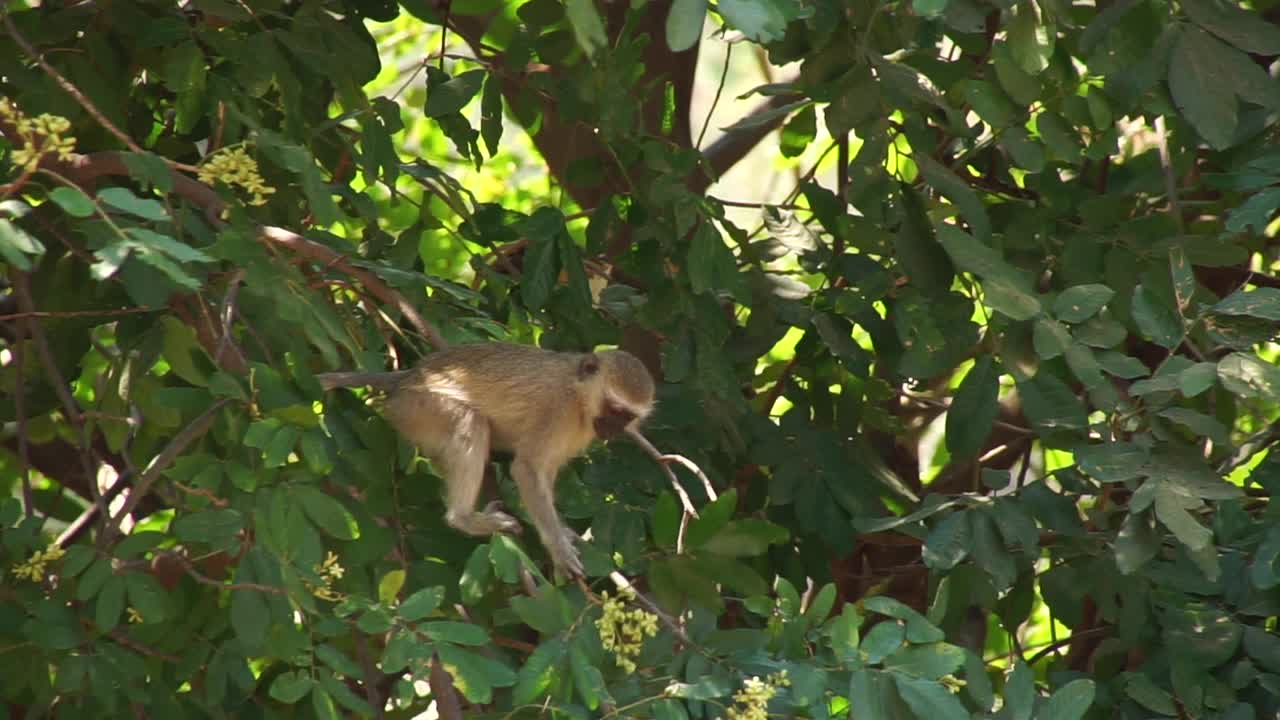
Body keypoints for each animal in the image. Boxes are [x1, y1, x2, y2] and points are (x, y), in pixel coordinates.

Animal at [318, 340, 655, 576]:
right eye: (613, 409)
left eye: (625, 417)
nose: (613, 429)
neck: (580, 399)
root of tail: (408, 378)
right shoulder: (556, 410)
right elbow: (527, 469)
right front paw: (558, 548)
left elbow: (543, 473)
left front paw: (563, 532)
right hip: (420, 408)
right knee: (471, 423)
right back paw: (464, 518)